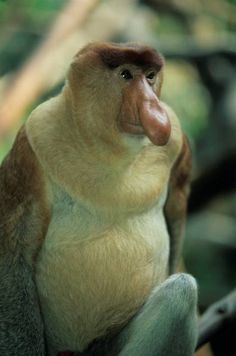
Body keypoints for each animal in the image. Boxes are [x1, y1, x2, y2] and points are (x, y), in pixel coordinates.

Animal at [0, 42, 197, 356]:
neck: (112, 152)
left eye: (150, 76)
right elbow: (13, 255)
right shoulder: (32, 145)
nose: (153, 108)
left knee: (181, 290)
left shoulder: (177, 142)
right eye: (126, 74)